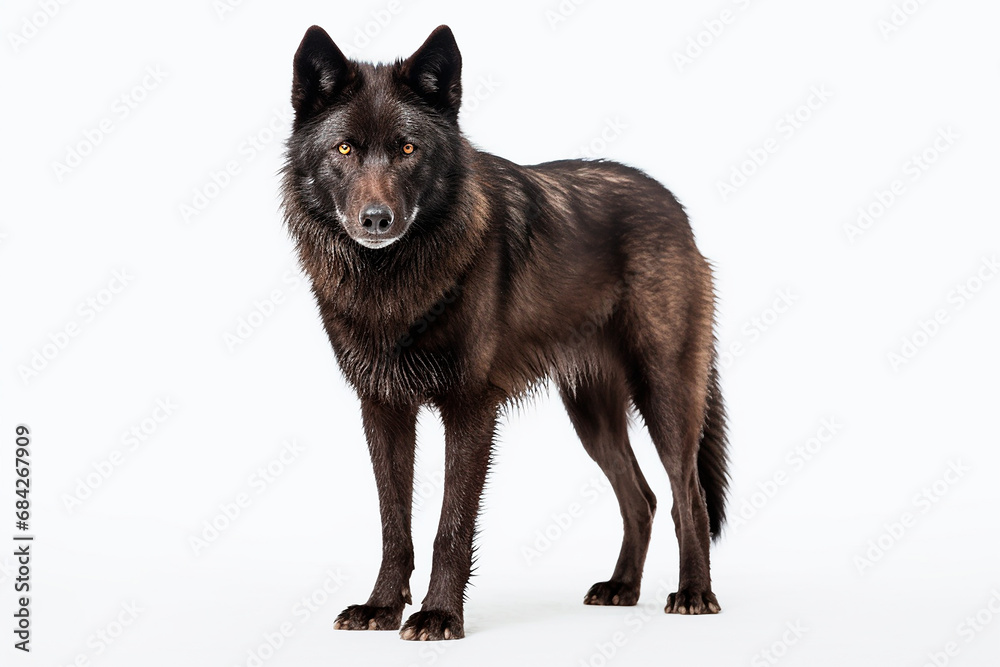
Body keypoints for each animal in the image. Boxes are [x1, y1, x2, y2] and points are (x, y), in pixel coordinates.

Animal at [281, 24, 730, 641]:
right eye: (344, 149)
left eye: (408, 149)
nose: (376, 220)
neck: (393, 283)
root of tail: (676, 208)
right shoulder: (383, 407)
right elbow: (394, 522)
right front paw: (381, 608)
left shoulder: (470, 408)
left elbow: (451, 525)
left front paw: (439, 615)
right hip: (591, 416)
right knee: (641, 497)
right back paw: (621, 588)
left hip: (663, 392)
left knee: (688, 495)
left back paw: (693, 594)